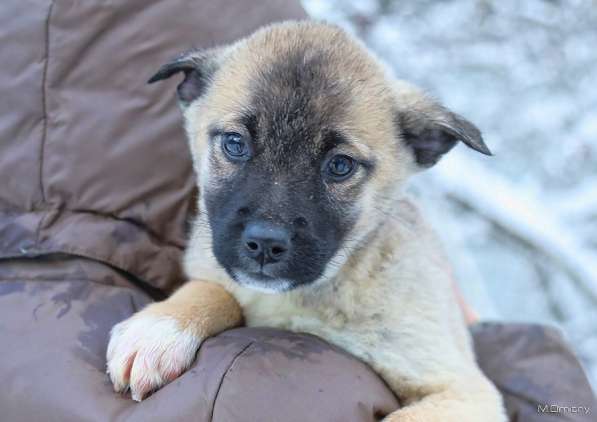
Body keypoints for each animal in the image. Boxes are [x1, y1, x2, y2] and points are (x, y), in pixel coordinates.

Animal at [106, 21, 502, 420]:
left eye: (340, 165)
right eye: (235, 143)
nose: (265, 244)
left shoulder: (461, 388)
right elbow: (216, 290)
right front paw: (160, 329)